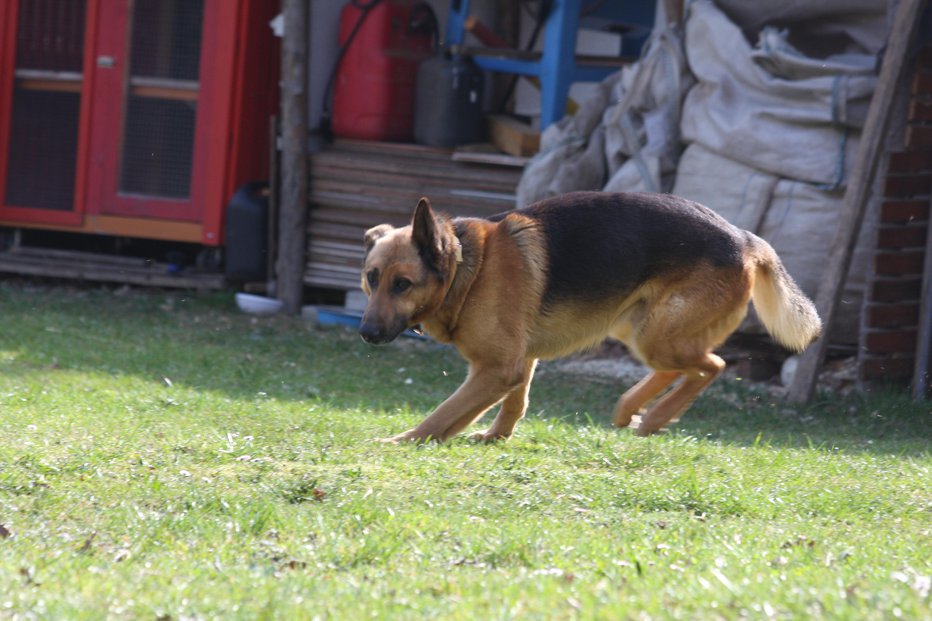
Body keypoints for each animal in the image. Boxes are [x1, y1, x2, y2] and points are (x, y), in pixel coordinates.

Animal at [360, 193, 820, 440]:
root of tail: (745, 239)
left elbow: (445, 413)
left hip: (657, 334)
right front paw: (495, 437)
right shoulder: (519, 361)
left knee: (712, 365)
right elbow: (515, 403)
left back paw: (655, 416)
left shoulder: (496, 368)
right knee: (684, 367)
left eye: (403, 284)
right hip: (642, 328)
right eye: (372, 278)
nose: (366, 333)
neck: (467, 269)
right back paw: (631, 410)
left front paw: (404, 440)